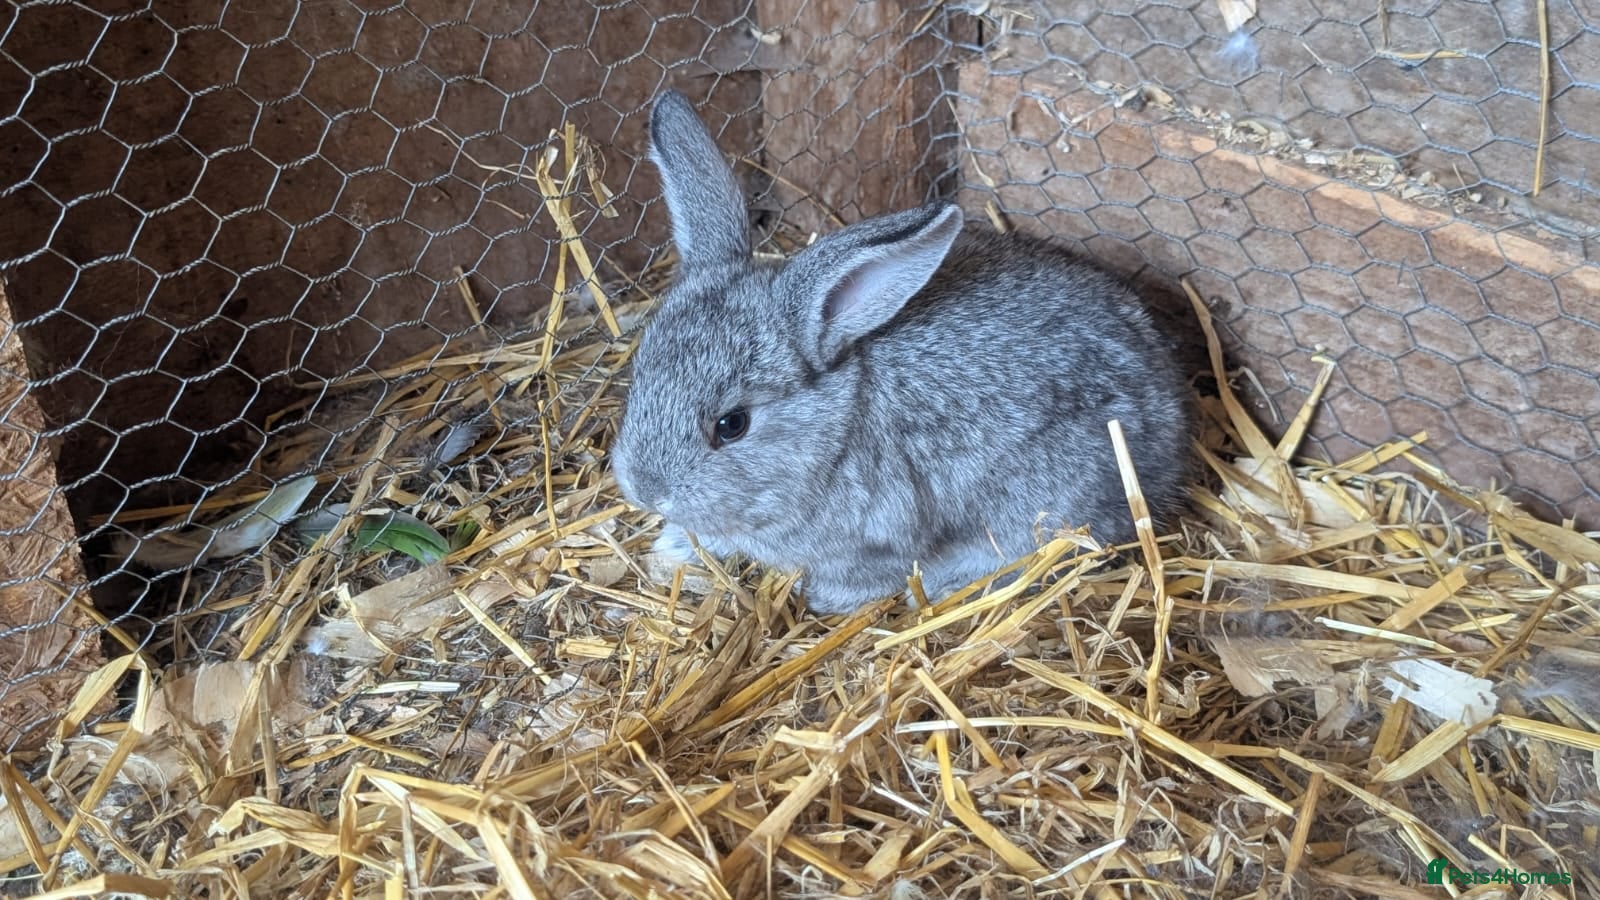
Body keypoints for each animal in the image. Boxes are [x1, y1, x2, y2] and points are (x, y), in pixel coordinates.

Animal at [609, 89, 1193, 614]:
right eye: (641, 373)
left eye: (731, 425)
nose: (645, 490)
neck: (834, 434)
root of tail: (1174, 432)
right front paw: (673, 543)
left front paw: (825, 597)